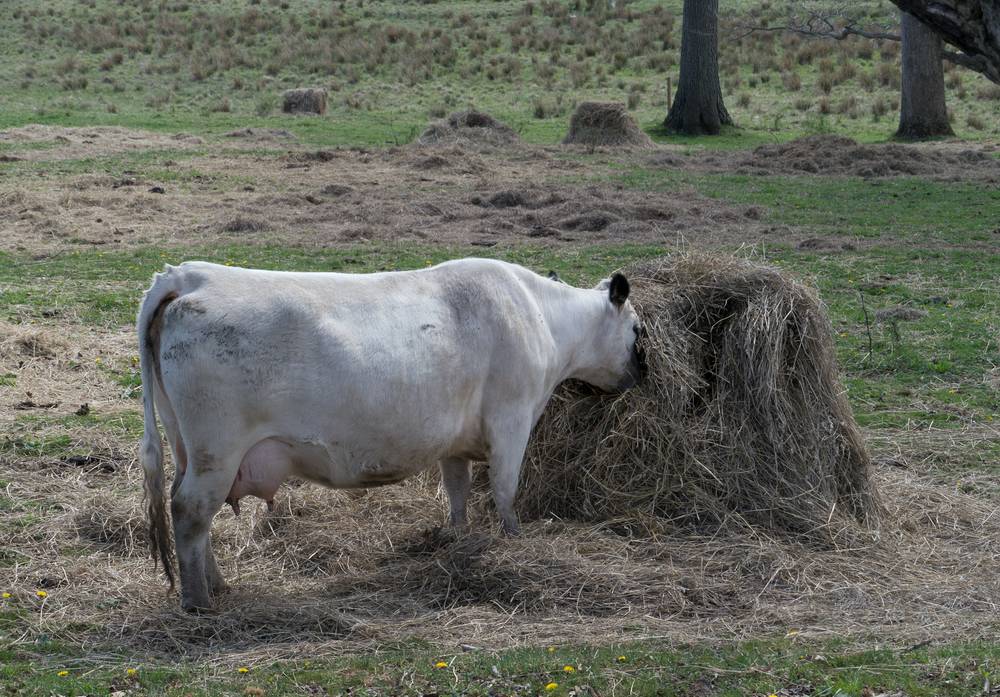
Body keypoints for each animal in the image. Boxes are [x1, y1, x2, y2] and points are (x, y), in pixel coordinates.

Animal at [139, 256, 640, 608]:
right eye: (637, 329)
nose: (643, 374)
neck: (541, 317)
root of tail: (188, 274)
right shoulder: (511, 420)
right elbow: (505, 488)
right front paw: (513, 542)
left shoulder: (454, 441)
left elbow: (457, 490)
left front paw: (455, 537)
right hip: (217, 452)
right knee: (190, 511)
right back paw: (198, 601)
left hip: (189, 450)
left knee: (193, 511)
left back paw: (217, 584)